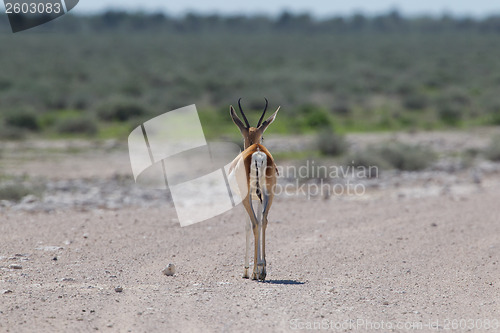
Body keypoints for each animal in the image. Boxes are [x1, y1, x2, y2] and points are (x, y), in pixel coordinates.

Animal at [229, 97, 280, 278]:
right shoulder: (258, 199)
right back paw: (263, 269)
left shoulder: (246, 198)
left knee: (254, 224)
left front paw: (246, 270)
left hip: (247, 198)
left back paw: (253, 273)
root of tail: (258, 153)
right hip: (268, 195)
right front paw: (258, 267)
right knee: (263, 221)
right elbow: (260, 218)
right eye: (262, 135)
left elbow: (246, 226)